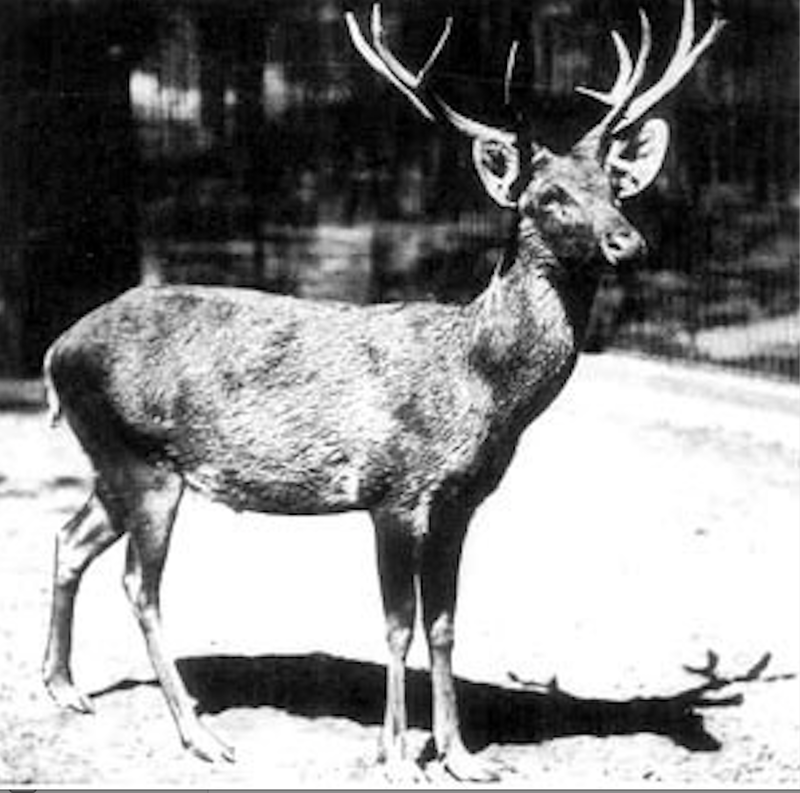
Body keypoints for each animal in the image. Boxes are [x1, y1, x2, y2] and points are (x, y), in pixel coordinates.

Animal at [41, 0, 723, 782]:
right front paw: (396, 755)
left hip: (113, 460)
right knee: (140, 585)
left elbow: (444, 623)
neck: (481, 391)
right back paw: (200, 735)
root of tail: (57, 350)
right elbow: (396, 625)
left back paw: (64, 687)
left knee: (70, 537)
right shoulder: (393, 491)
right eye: (549, 198)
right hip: (144, 460)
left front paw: (461, 755)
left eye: (614, 188)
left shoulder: (460, 501)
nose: (627, 242)